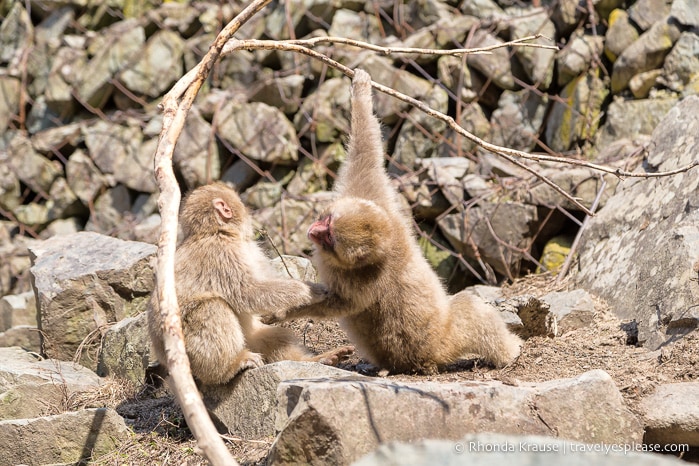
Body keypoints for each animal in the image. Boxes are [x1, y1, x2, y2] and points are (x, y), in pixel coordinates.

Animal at [148, 182, 356, 386]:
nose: (248, 207)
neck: (217, 231)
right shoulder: (222, 253)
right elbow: (247, 292)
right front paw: (310, 290)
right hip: (189, 354)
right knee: (211, 307)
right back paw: (229, 367)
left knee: (270, 335)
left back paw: (315, 360)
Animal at [266, 69, 524, 374]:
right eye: (327, 220)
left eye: (329, 236)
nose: (314, 231)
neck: (384, 244)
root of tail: (417, 362)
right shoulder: (376, 201)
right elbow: (366, 152)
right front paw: (361, 89)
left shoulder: (358, 277)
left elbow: (339, 304)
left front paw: (285, 311)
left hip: (442, 342)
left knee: (471, 308)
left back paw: (509, 352)